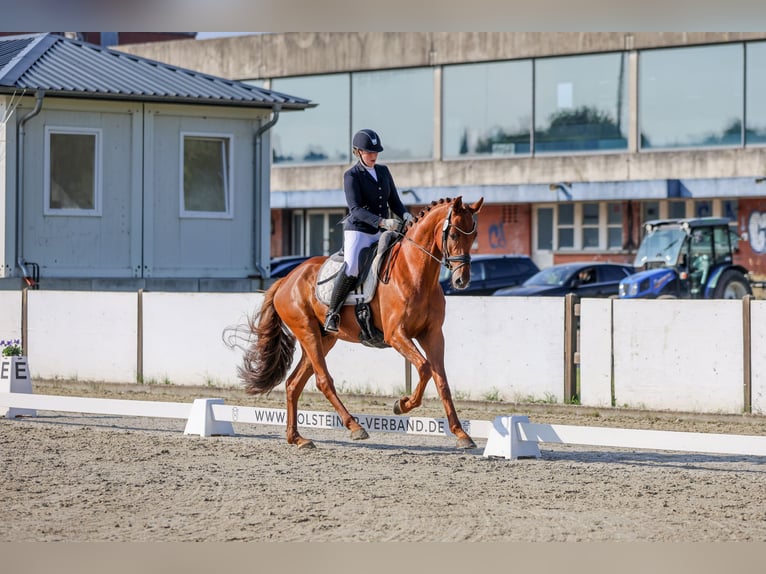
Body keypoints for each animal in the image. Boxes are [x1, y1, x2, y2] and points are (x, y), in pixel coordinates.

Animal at [238, 196, 484, 449]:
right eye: (453, 234)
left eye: (474, 235)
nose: (461, 280)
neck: (415, 273)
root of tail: (286, 279)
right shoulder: (396, 335)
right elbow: (425, 368)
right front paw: (402, 404)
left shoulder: (432, 334)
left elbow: (441, 380)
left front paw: (461, 434)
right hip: (307, 332)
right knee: (323, 380)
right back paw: (355, 427)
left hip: (323, 339)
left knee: (293, 383)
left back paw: (297, 438)